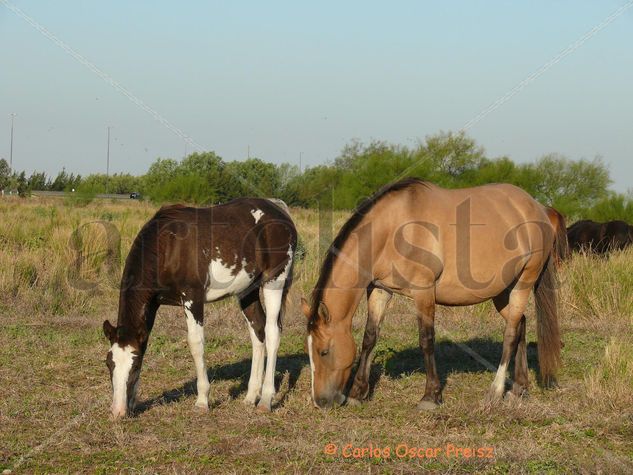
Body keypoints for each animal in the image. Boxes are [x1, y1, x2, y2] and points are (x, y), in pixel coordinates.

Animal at [102, 199, 296, 418]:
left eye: (134, 366)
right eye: (109, 363)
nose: (117, 411)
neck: (168, 246)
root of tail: (279, 209)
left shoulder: (192, 299)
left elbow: (196, 344)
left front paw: (202, 400)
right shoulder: (152, 305)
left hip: (274, 281)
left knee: (272, 333)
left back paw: (265, 399)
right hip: (248, 290)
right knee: (258, 330)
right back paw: (250, 396)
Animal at [304, 180, 560, 410]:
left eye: (323, 351)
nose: (319, 402)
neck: (392, 231)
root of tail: (538, 207)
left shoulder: (424, 292)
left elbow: (426, 340)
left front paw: (430, 397)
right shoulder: (380, 290)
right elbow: (370, 338)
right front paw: (358, 392)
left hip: (523, 283)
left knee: (510, 335)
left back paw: (495, 393)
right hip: (503, 291)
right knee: (521, 325)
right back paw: (519, 388)